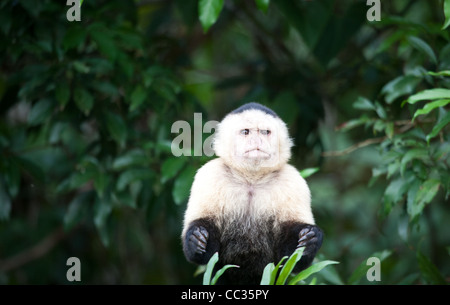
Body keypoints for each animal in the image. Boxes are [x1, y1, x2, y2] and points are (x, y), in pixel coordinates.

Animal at [181, 102, 322, 284]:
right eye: (246, 132)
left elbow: (289, 258)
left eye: (265, 132)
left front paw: (308, 242)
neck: (251, 179)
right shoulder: (209, 175)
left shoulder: (293, 181)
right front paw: (196, 239)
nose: (256, 140)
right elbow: (206, 250)